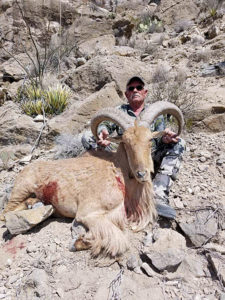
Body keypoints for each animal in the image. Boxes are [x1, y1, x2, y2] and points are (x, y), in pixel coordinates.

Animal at [0, 102, 184, 256]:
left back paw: (37, 205)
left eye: (150, 140)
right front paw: (78, 242)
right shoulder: (89, 213)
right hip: (22, 188)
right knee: (6, 213)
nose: (142, 174)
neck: (118, 172)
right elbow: (120, 240)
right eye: (125, 142)